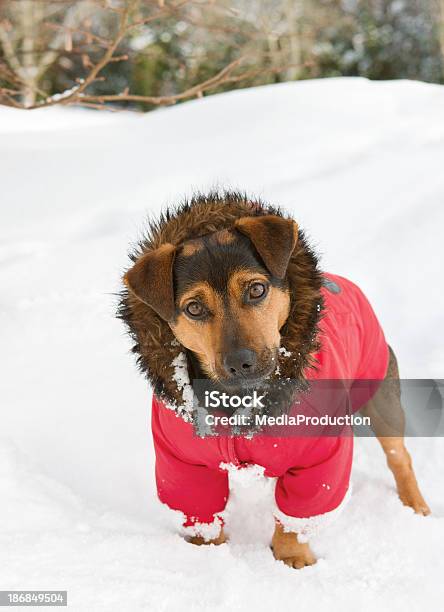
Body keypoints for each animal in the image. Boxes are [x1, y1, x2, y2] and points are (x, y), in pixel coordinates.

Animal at [119, 192, 430, 568]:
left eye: (256, 289)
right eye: (194, 308)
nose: (241, 362)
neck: (241, 398)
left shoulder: (321, 456)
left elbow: (299, 515)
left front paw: (293, 558)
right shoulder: (181, 463)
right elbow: (201, 513)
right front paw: (207, 555)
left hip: (382, 397)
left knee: (399, 456)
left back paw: (415, 508)